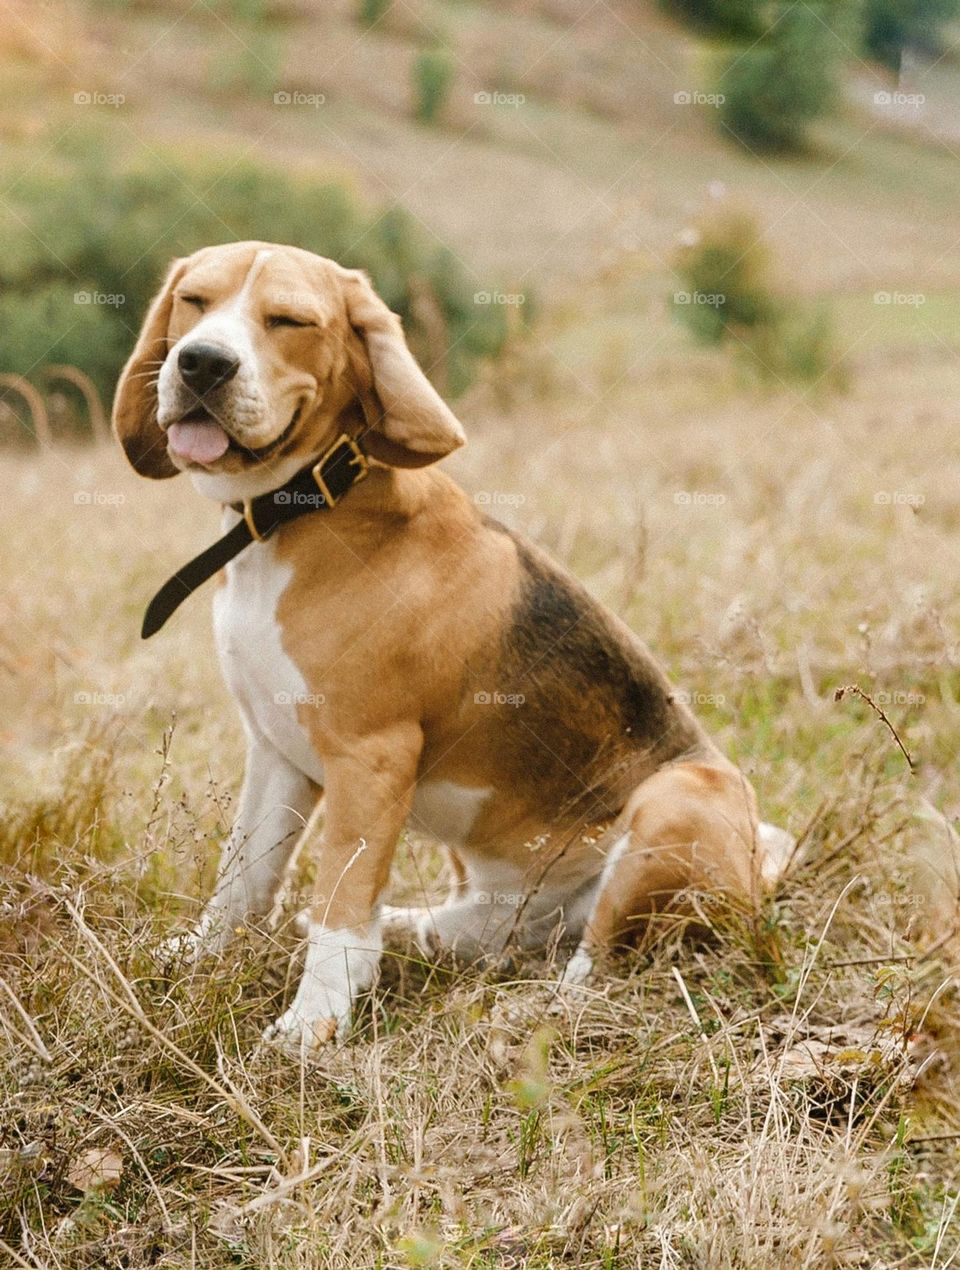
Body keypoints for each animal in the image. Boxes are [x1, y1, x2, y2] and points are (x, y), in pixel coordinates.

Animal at [112, 242, 792, 1056]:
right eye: (194, 301)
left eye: (289, 320)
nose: (202, 363)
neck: (302, 512)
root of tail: (758, 875)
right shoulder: (275, 750)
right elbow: (241, 879)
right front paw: (198, 957)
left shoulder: (371, 758)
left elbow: (342, 901)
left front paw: (312, 1025)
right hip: (513, 896)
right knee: (489, 936)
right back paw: (413, 930)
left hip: (676, 798)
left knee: (595, 964)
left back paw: (536, 1010)